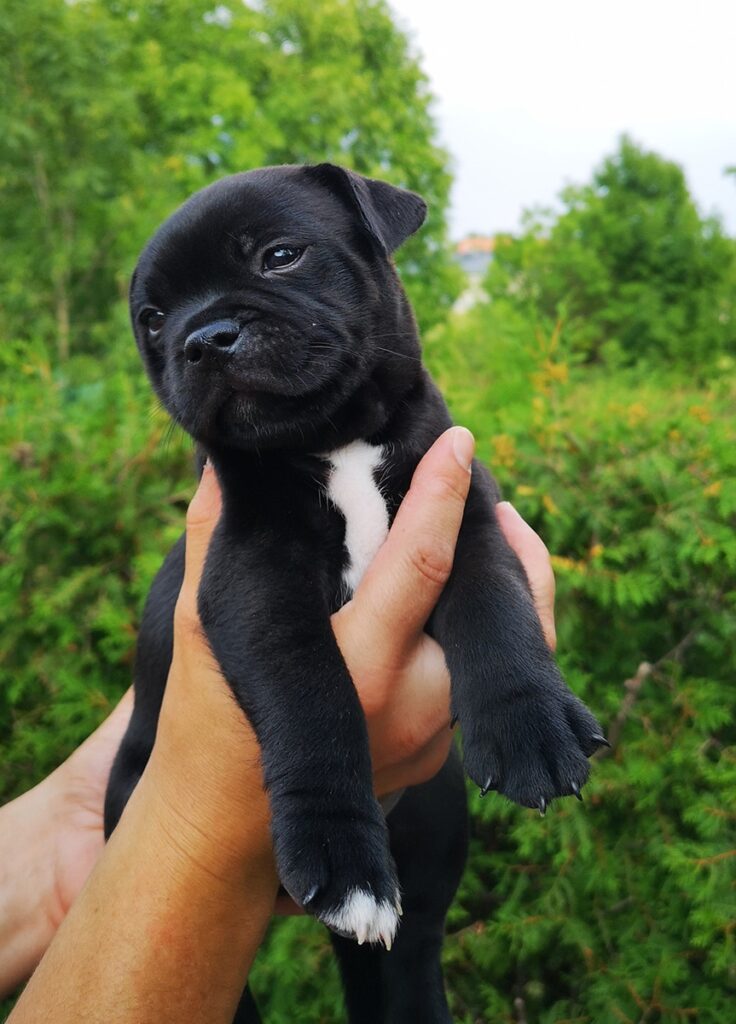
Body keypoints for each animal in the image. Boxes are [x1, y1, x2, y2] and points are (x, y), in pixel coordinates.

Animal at [104, 163, 605, 1019]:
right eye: (153, 319)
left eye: (280, 255)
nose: (202, 338)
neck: (335, 440)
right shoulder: (255, 580)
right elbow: (312, 693)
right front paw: (340, 852)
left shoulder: (464, 512)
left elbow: (495, 606)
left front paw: (531, 725)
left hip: (428, 869)